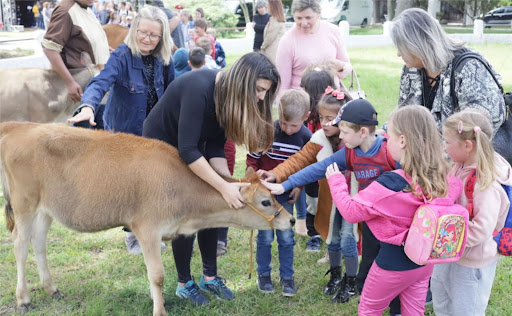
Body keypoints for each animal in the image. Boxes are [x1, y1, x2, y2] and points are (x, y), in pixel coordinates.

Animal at [0, 121, 294, 316]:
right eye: (265, 201)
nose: (290, 220)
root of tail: (19, 125)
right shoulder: (147, 228)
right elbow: (158, 275)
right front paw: (160, 310)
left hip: (45, 209)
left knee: (39, 243)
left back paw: (51, 288)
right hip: (24, 203)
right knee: (20, 245)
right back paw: (23, 298)